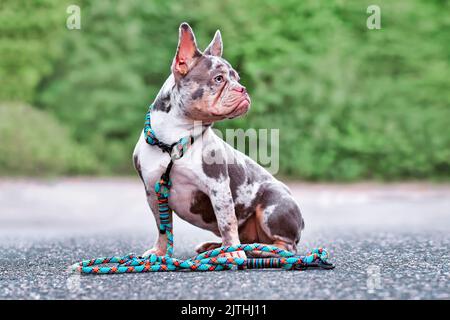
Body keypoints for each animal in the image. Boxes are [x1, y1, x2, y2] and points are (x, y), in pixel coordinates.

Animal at [132, 22, 304, 258]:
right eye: (219, 79)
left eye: (237, 79)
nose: (243, 88)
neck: (175, 140)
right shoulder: (153, 191)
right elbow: (163, 227)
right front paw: (160, 252)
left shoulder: (219, 188)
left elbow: (227, 222)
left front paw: (233, 252)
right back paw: (217, 247)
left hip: (272, 204)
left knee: (286, 246)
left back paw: (258, 250)